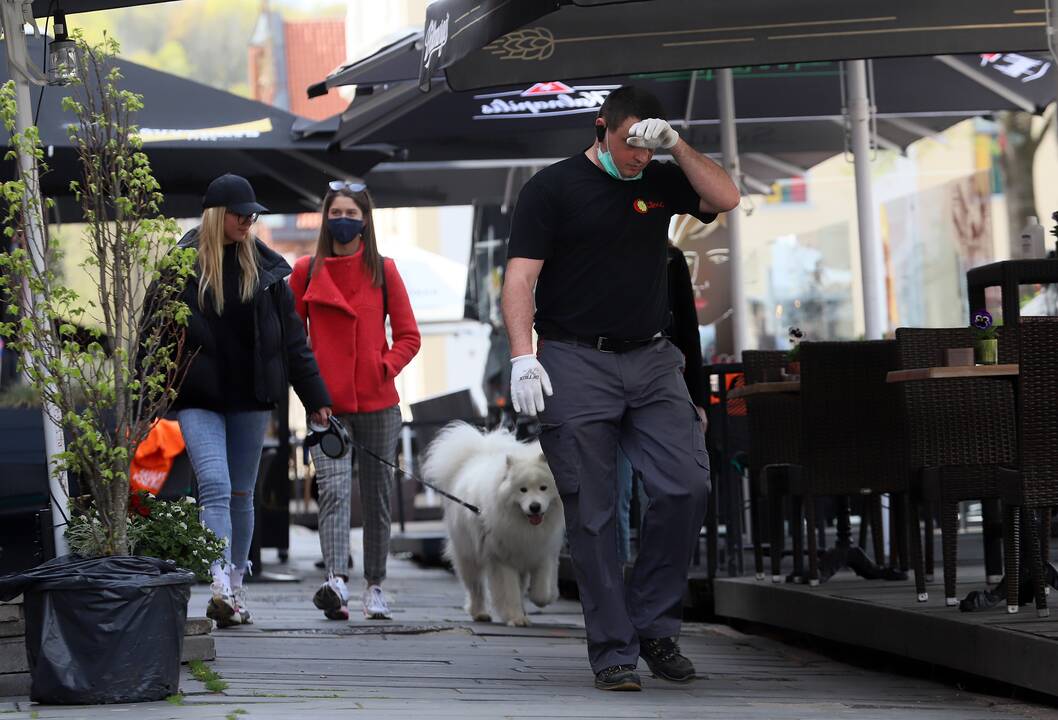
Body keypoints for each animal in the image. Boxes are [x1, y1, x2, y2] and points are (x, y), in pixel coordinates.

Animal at [425, 420, 567, 621]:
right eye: (523, 490)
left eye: (543, 488)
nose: (535, 507)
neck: (524, 527)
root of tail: (474, 458)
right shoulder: (502, 559)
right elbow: (509, 592)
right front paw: (516, 618)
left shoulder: (542, 552)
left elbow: (542, 588)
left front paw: (542, 599)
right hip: (469, 555)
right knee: (475, 587)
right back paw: (480, 613)